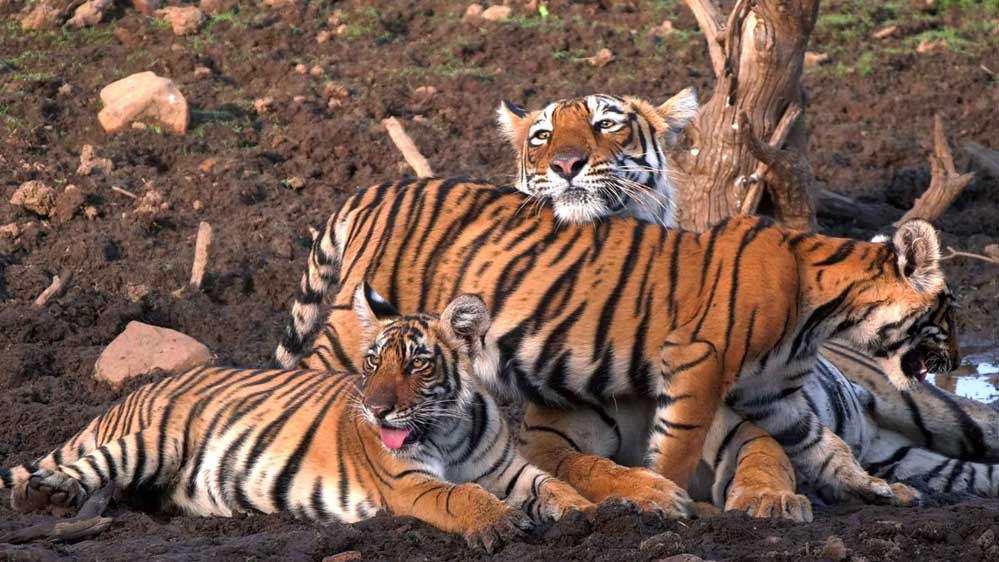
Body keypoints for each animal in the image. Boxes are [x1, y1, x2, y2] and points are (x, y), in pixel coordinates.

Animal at [1, 289, 592, 553]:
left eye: (417, 364)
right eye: (373, 363)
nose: (376, 409)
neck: (447, 428)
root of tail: (138, 390)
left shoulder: (507, 469)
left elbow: (553, 485)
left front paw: (593, 512)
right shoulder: (408, 482)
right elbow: (460, 495)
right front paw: (499, 523)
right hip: (151, 440)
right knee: (79, 470)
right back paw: (47, 497)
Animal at [274, 178, 958, 521]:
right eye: (948, 312)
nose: (954, 362)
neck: (823, 312)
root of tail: (376, 189)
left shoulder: (774, 397)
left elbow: (826, 444)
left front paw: (875, 489)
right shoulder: (698, 363)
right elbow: (675, 450)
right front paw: (671, 503)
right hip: (351, 333)